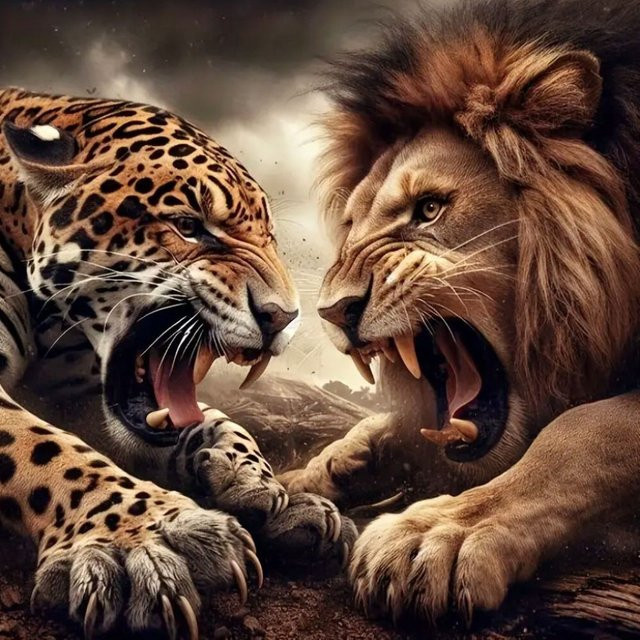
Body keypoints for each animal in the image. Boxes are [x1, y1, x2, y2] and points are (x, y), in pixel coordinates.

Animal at [280, 0, 640, 624]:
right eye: (351, 227)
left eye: (429, 209)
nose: (331, 311)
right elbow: (394, 420)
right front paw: (314, 472)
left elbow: (579, 431)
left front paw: (439, 532)